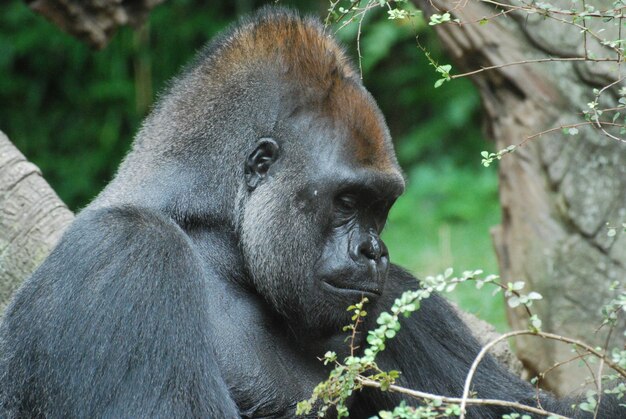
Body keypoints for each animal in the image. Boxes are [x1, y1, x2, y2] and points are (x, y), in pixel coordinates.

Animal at [1, 6, 624, 419]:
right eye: (347, 201)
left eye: (381, 207)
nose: (374, 251)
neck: (215, 238)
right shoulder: (126, 253)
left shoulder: (396, 297)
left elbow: (524, 406)